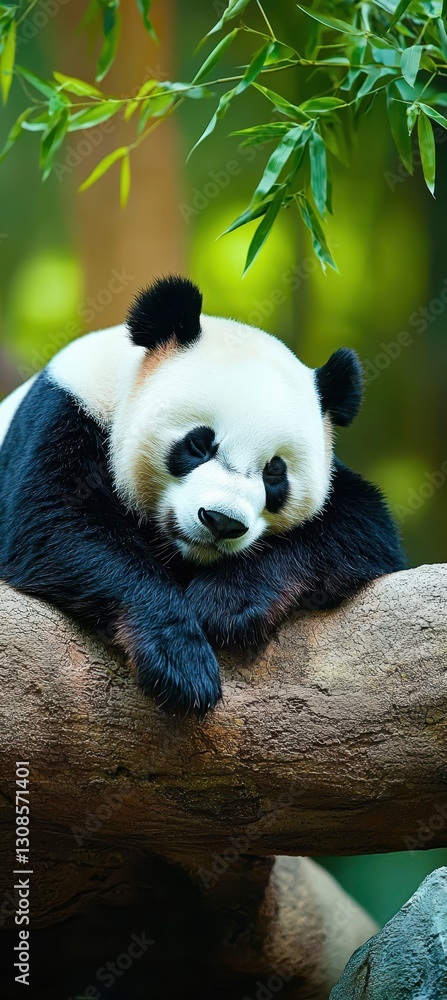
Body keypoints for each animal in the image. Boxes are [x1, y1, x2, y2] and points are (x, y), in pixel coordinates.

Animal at [0, 274, 406, 715]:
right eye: (198, 444)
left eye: (274, 472)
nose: (222, 522)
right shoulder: (70, 410)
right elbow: (59, 525)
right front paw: (179, 662)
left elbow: (360, 528)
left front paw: (226, 604)